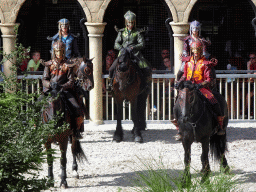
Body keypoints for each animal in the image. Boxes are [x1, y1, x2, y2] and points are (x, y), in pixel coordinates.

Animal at [42, 57, 94, 189]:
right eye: (87, 70)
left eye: (60, 104)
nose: (90, 86)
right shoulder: (46, 139)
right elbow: (49, 159)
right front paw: (50, 180)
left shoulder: (64, 138)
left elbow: (63, 159)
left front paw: (63, 181)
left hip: (73, 134)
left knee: (73, 149)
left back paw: (75, 170)